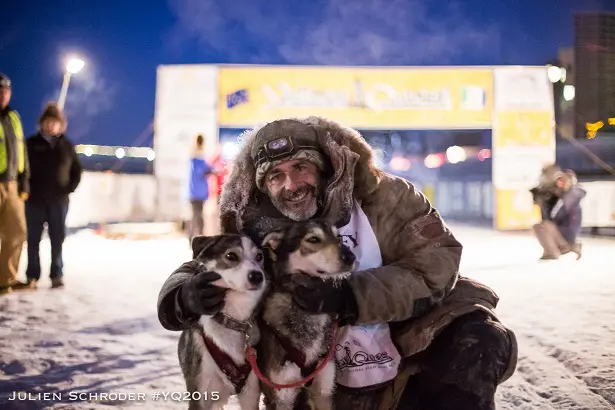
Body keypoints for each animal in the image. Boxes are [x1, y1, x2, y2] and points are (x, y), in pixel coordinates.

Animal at [176, 234, 268, 410]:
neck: (231, 320)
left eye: (259, 256)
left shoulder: (250, 393)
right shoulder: (199, 394)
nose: (257, 276)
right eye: (231, 255)